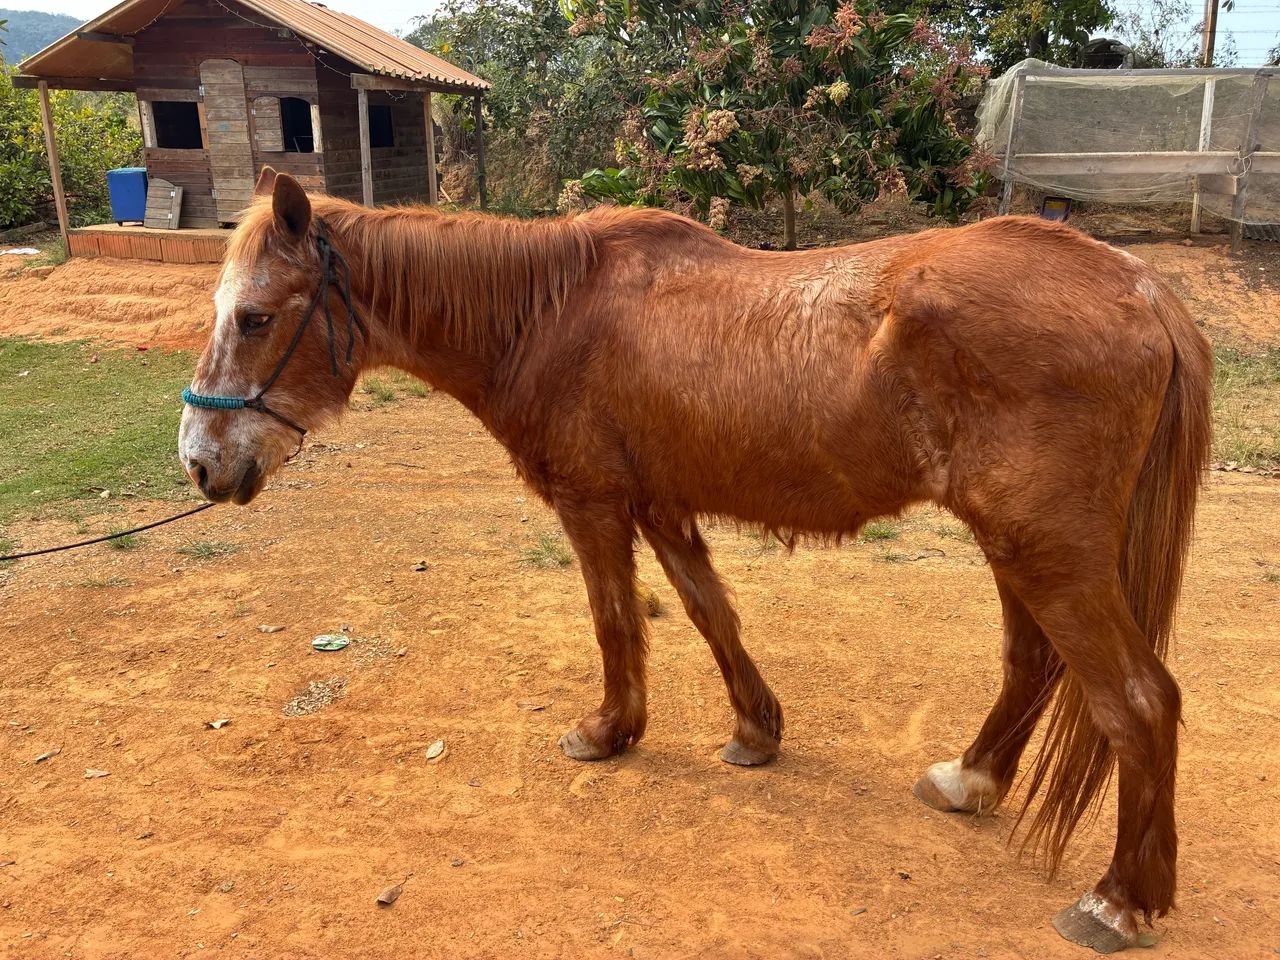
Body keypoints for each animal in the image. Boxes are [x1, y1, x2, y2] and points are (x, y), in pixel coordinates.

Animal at [178, 167, 1212, 953]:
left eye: (256, 317)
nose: (201, 462)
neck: (549, 314)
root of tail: (1140, 285)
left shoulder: (594, 504)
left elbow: (614, 620)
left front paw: (609, 731)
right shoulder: (662, 506)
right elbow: (712, 612)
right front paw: (757, 731)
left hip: (1048, 552)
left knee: (1139, 702)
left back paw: (1119, 900)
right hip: (1018, 547)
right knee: (1033, 665)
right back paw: (972, 781)